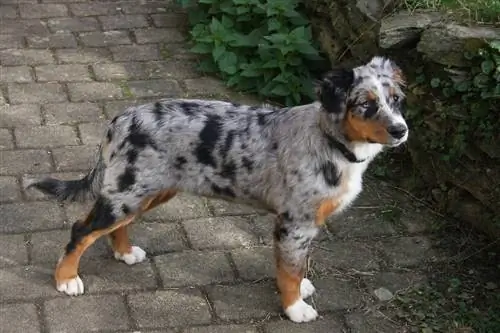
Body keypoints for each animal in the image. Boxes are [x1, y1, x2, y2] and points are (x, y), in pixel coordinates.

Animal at [27, 55, 408, 320]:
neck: (330, 141)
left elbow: (299, 263)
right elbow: (289, 268)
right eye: (365, 104)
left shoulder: (307, 224)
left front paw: (302, 288)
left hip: (145, 190)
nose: (401, 130)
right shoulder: (294, 222)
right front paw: (295, 308)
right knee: (82, 229)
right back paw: (66, 279)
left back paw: (124, 252)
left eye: (397, 100)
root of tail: (121, 118)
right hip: (129, 191)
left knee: (117, 226)